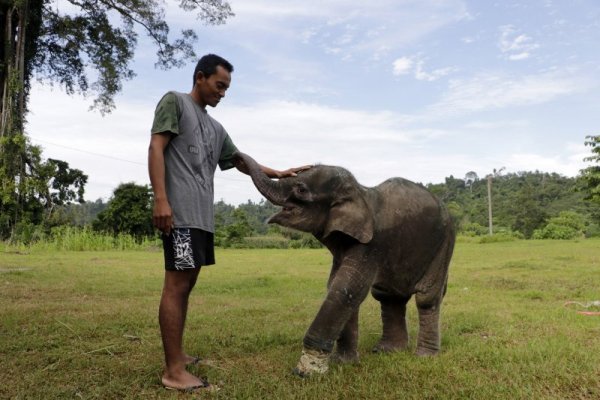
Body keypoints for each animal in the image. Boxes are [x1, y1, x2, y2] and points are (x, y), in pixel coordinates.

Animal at [234, 152, 454, 376]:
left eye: (301, 189)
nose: (236, 156)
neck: (360, 192)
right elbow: (338, 287)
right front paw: (343, 363)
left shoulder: (371, 244)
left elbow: (346, 289)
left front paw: (307, 371)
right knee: (388, 296)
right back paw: (387, 351)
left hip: (444, 246)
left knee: (427, 298)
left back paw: (424, 356)